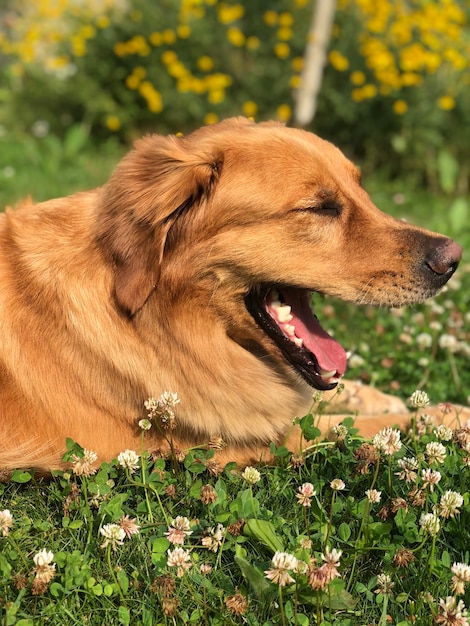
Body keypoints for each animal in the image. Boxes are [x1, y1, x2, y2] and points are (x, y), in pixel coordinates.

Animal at [0, 116, 462, 468]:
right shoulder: (251, 440)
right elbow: (362, 428)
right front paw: (449, 418)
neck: (158, 323)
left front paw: (403, 400)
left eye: (362, 192)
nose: (453, 259)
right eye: (320, 208)